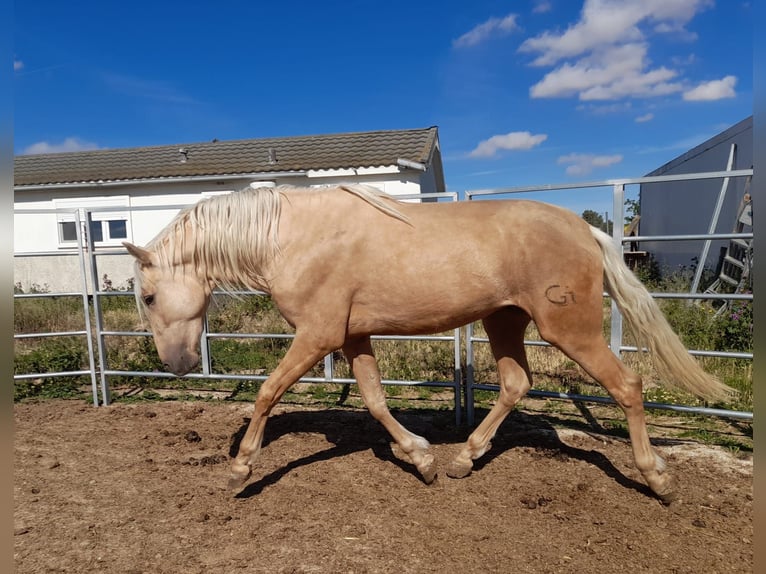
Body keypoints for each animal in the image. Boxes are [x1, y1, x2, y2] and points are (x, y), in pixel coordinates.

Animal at [123, 184, 736, 504]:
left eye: (149, 297)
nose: (176, 366)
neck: (292, 238)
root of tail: (586, 229)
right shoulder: (353, 335)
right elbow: (374, 400)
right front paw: (421, 459)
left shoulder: (318, 335)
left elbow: (268, 393)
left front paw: (240, 470)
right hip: (505, 322)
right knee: (515, 383)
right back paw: (464, 459)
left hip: (570, 330)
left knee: (628, 385)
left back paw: (658, 479)